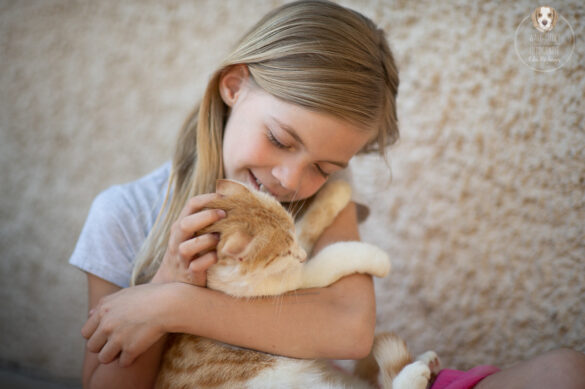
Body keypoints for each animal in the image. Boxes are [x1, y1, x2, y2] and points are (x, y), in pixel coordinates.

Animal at [155, 180, 438, 388]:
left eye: (291, 231)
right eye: (283, 254)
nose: (300, 256)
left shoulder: (302, 238)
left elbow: (312, 220)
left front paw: (337, 190)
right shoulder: (297, 279)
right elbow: (333, 257)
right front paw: (378, 258)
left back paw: (427, 362)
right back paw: (417, 373)